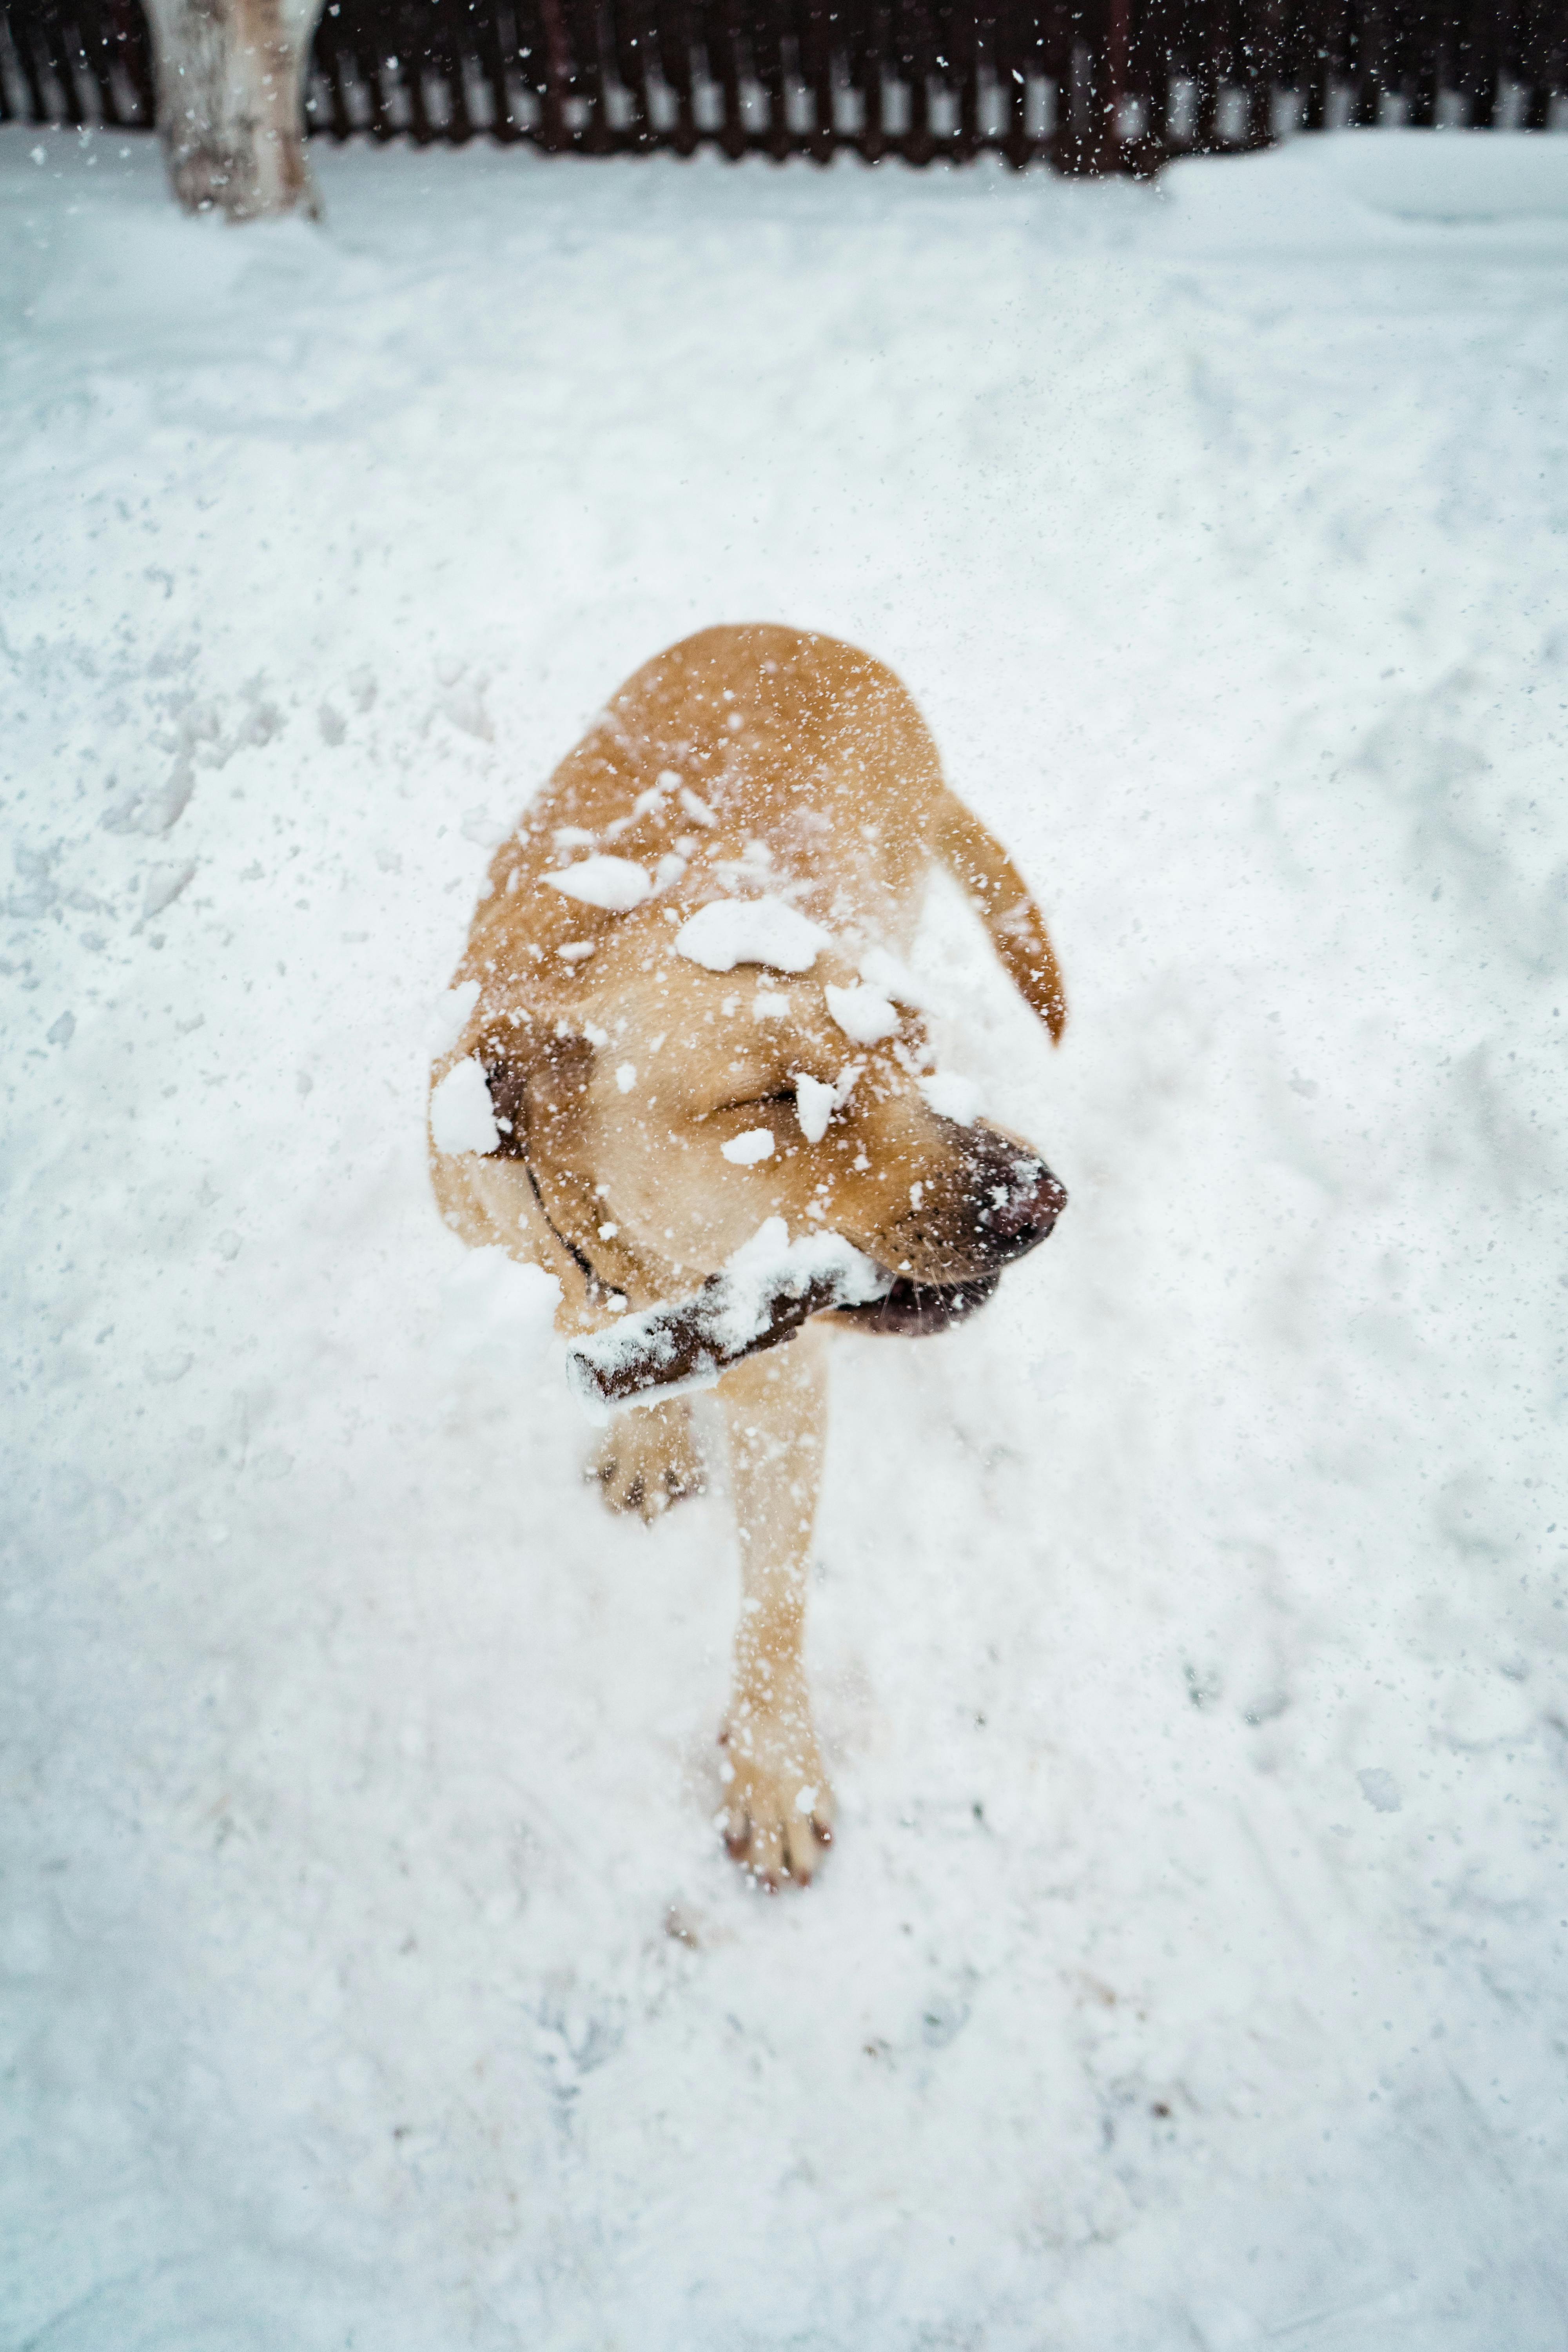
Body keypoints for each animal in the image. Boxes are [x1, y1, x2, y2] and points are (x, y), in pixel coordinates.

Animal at [430, 626, 1067, 1891]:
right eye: (770, 1099)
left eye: (911, 1046)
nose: (1040, 1200)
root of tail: (826, 639)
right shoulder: (543, 1249)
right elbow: (596, 1323)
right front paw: (648, 1430)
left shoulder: (782, 1383)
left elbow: (773, 1598)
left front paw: (772, 1769)